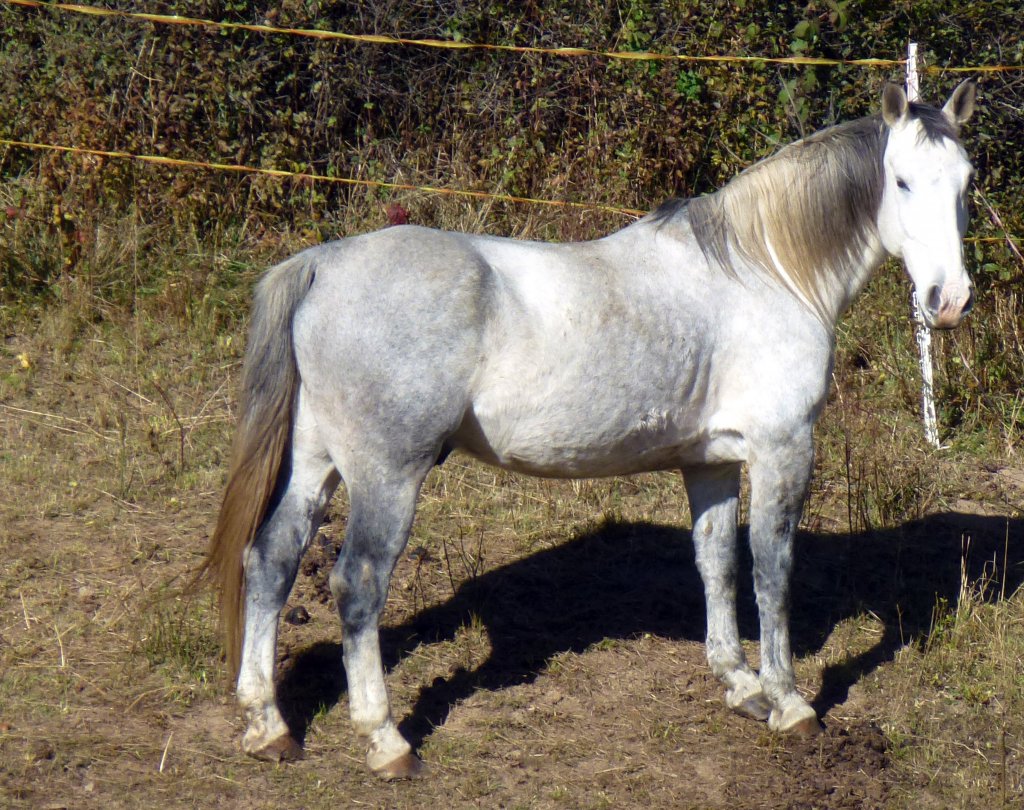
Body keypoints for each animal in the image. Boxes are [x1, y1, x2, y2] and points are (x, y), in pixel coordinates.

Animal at [197, 80, 974, 778]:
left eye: (966, 182)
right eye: (901, 181)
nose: (950, 300)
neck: (766, 271)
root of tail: (322, 263)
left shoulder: (713, 463)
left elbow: (718, 564)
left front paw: (740, 684)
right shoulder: (783, 448)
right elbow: (772, 569)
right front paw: (789, 702)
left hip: (316, 462)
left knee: (270, 561)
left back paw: (268, 725)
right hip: (387, 475)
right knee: (357, 586)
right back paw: (386, 742)